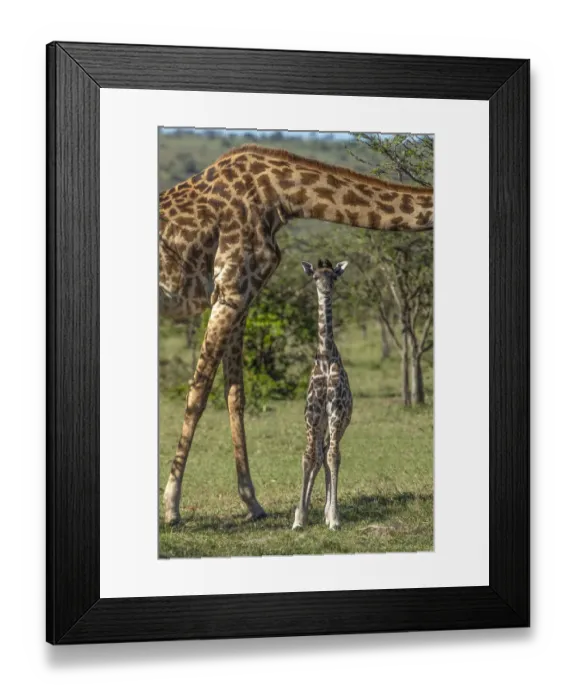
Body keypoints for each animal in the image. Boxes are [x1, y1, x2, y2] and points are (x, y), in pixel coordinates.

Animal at [159, 144, 434, 525]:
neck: (281, 195)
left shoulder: (241, 297)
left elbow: (235, 396)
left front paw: (252, 502)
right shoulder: (229, 291)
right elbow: (198, 394)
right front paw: (171, 506)